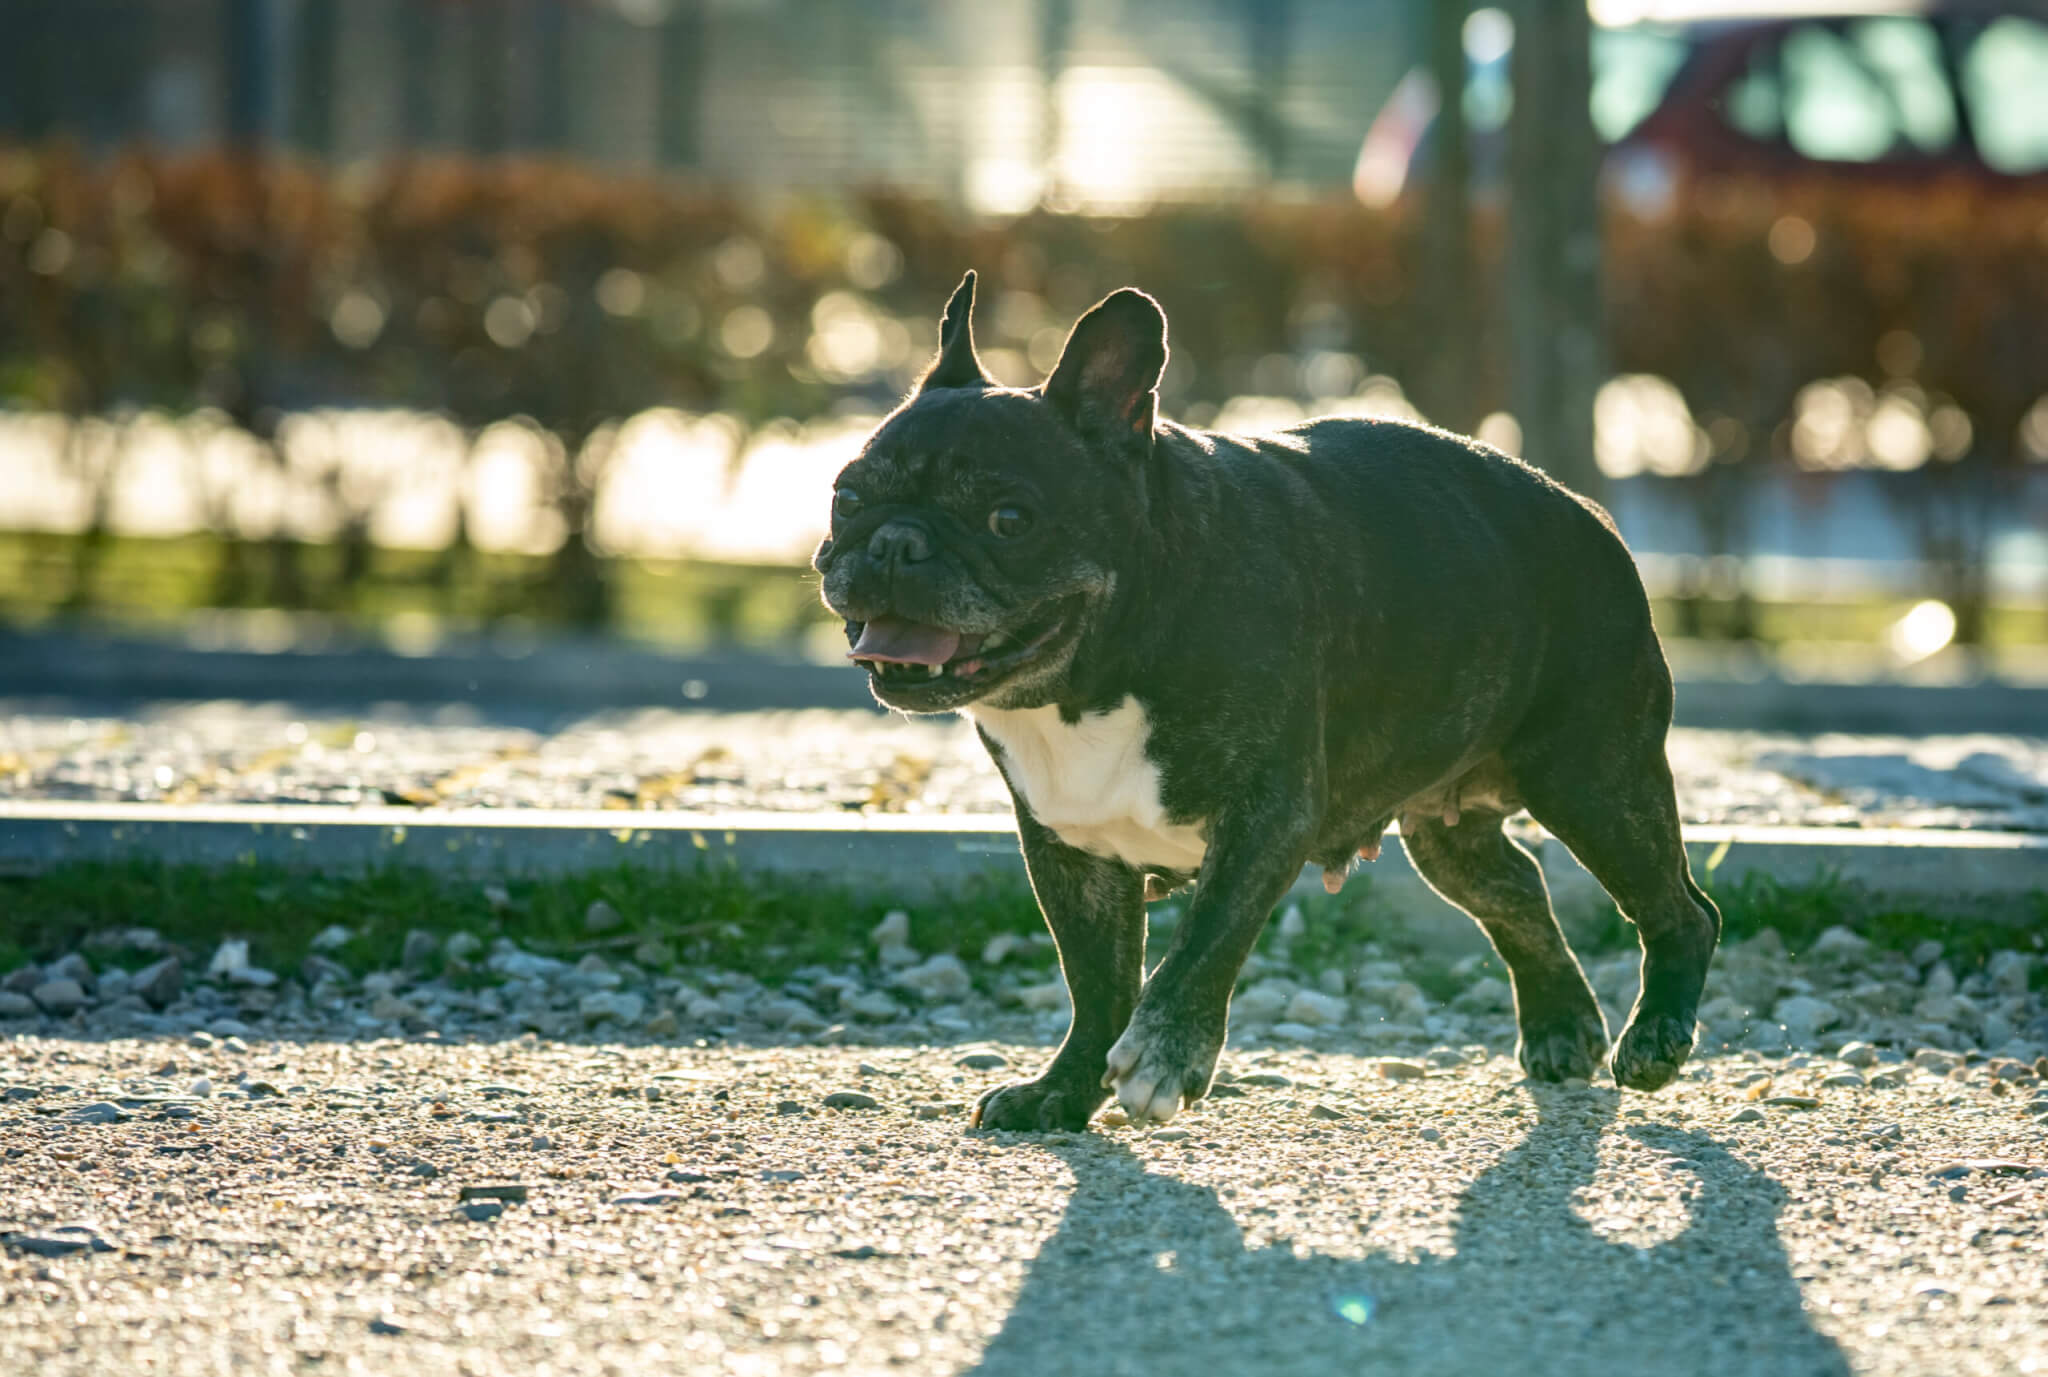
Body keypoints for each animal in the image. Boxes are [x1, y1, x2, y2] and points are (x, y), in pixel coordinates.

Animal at [806, 272, 1720, 1131]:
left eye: (1009, 517)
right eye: (846, 497)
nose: (893, 542)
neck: (1099, 668)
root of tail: (1590, 512)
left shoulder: (1265, 816)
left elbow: (1203, 942)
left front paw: (1164, 1056)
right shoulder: (1069, 847)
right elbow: (1095, 985)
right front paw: (1060, 1094)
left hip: (1593, 778)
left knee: (1679, 906)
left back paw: (1654, 1037)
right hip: (1449, 826)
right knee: (1516, 886)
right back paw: (1562, 1023)